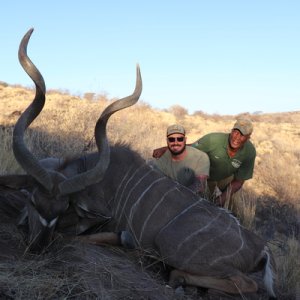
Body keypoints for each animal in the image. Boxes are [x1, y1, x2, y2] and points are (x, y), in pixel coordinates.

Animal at [0, 28, 276, 298]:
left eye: (61, 208)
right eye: (34, 201)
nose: (37, 247)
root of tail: (260, 248)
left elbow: (77, 232)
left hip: (170, 243)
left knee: (245, 283)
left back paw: (177, 278)